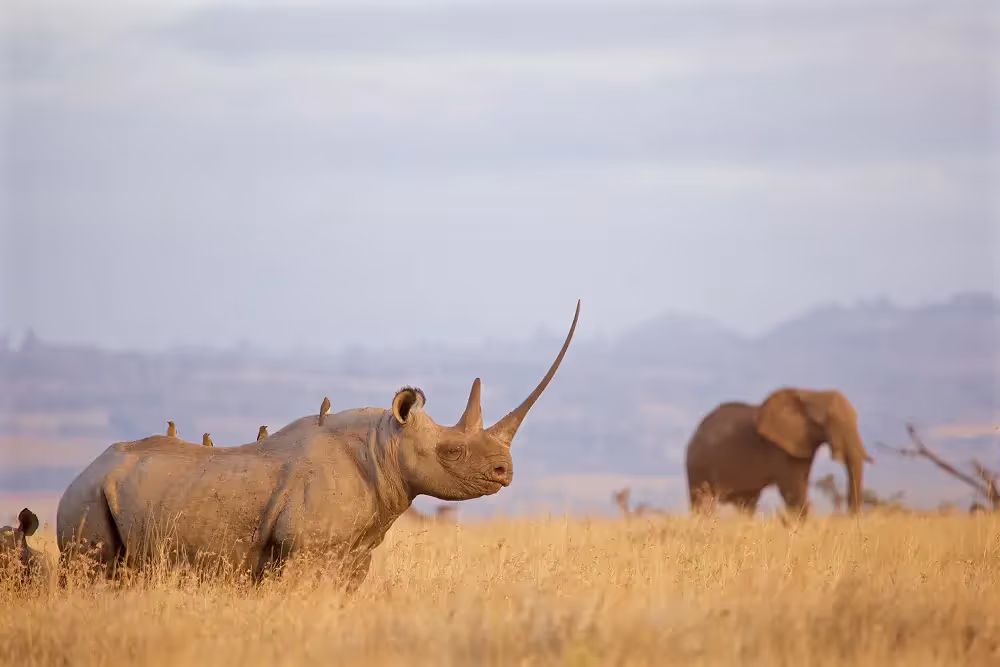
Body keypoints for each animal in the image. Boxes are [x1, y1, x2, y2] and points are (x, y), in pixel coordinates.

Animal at [56, 301, 581, 590]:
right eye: (452, 452)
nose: (505, 472)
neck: (384, 447)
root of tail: (83, 469)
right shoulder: (306, 550)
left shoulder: (353, 554)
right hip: (87, 493)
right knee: (89, 567)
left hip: (112, 489)